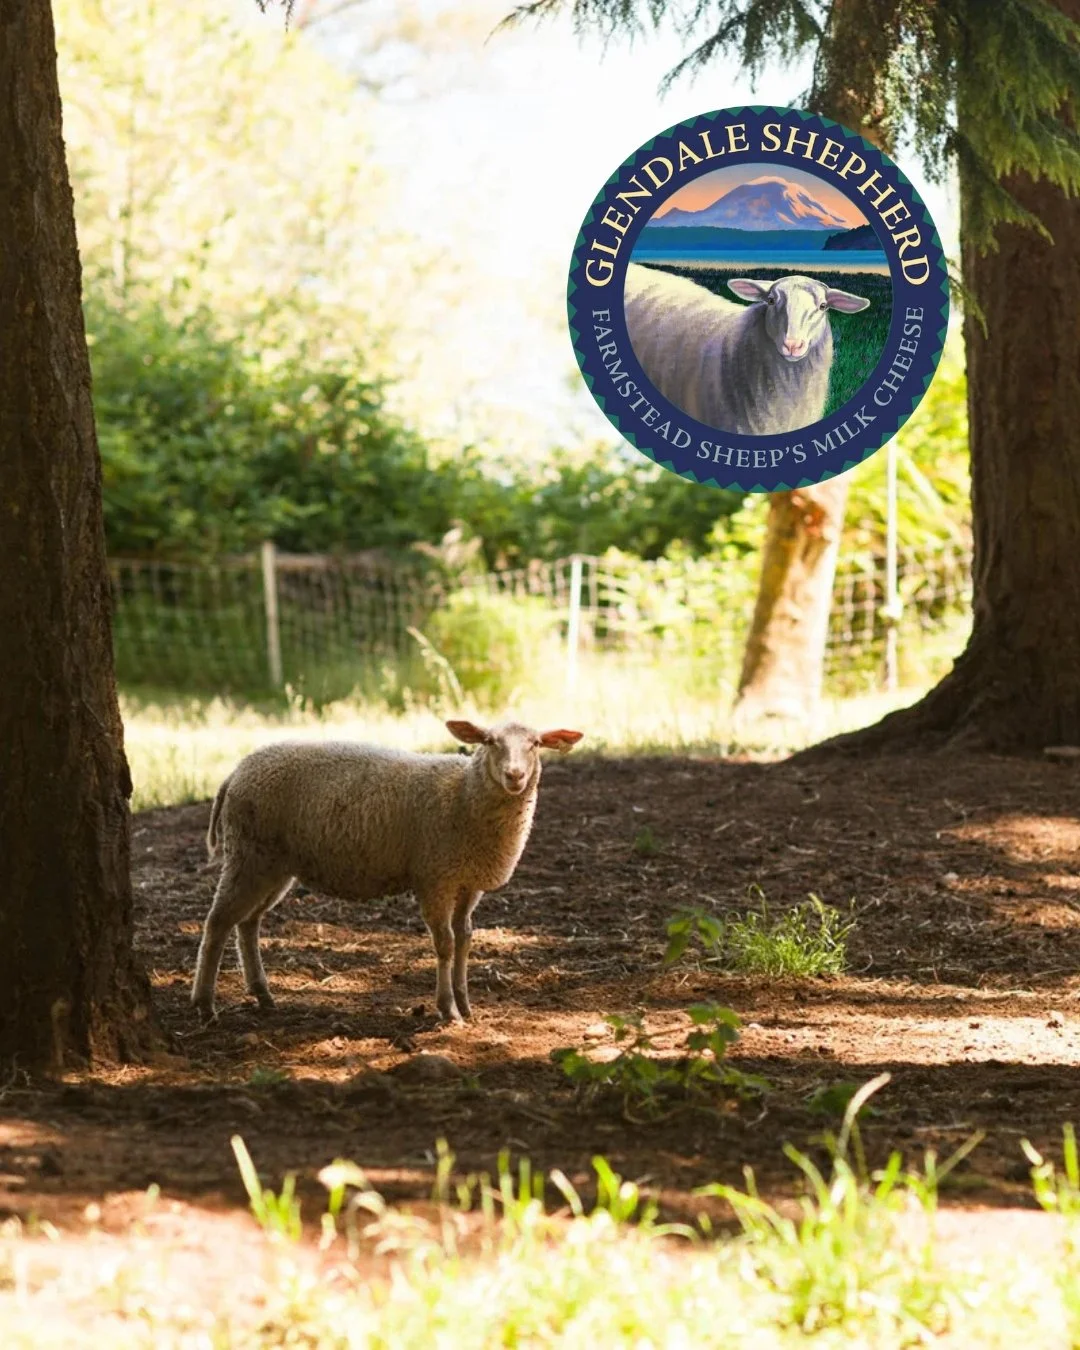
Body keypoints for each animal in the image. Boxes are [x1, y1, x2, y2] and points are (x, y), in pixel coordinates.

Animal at [190, 719, 583, 1024]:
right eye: (489, 741)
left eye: (535, 744)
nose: (514, 775)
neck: (463, 794)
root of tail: (236, 772)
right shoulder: (435, 877)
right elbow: (445, 943)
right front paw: (448, 1009)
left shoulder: (467, 882)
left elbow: (465, 938)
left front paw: (465, 1003)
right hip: (249, 856)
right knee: (218, 923)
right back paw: (205, 1005)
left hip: (273, 865)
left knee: (247, 923)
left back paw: (262, 995)